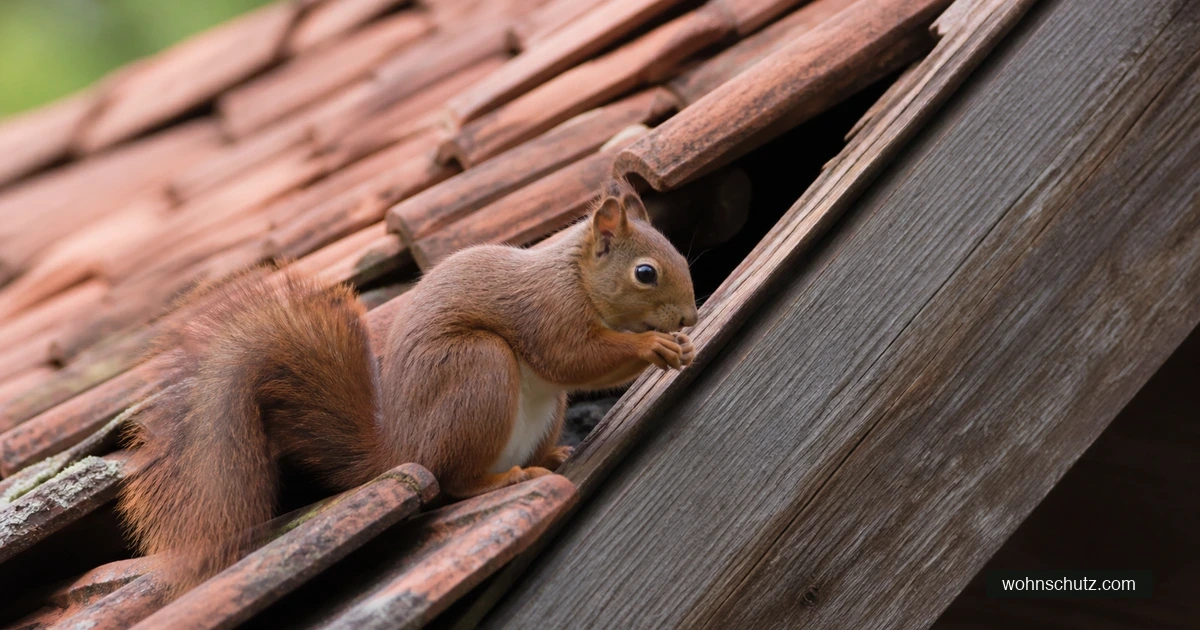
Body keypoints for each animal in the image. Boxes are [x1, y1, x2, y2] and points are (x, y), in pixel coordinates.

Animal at [117, 178, 698, 592]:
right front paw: (653, 346)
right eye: (645, 273)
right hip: (480, 369)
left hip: (541, 405)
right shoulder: (547, 313)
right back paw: (502, 479)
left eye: (681, 255)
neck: (574, 275)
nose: (690, 318)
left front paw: (679, 345)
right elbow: (573, 357)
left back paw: (552, 456)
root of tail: (401, 450)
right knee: (456, 479)